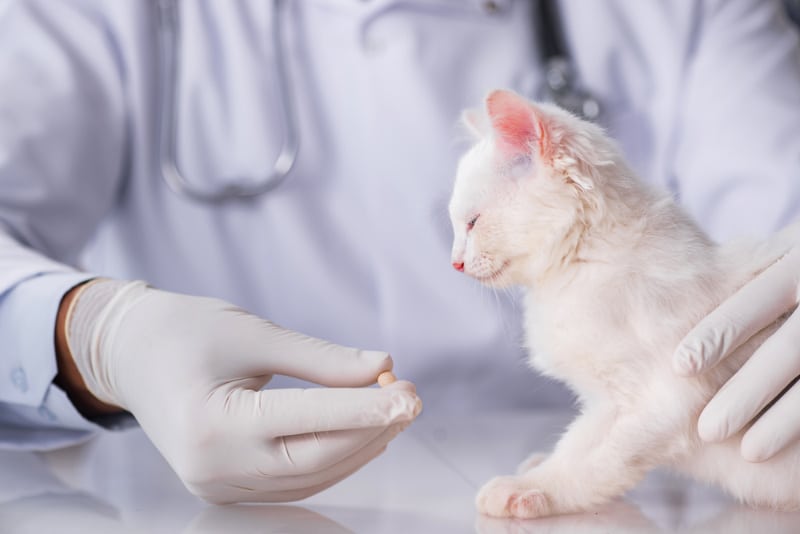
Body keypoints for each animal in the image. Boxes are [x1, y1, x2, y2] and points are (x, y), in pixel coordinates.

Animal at [446, 90, 796, 520]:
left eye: (473, 222)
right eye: (458, 225)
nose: (455, 262)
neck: (585, 262)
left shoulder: (654, 401)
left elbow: (587, 459)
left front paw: (530, 487)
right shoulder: (609, 401)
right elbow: (581, 444)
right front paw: (536, 468)